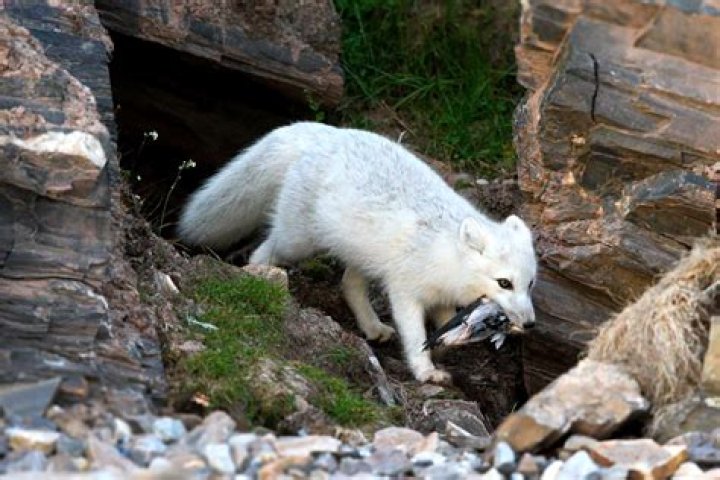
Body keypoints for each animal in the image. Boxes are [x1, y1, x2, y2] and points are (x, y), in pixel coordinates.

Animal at [179, 122, 537, 383]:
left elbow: (444, 323)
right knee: (263, 251)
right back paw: (262, 278)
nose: (531, 324)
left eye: (530, 284)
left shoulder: (443, 298)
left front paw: (446, 347)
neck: (445, 253)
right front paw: (425, 371)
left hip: (362, 257)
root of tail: (328, 132)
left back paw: (373, 328)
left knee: (349, 285)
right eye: (504, 283)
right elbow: (415, 335)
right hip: (297, 241)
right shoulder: (405, 292)